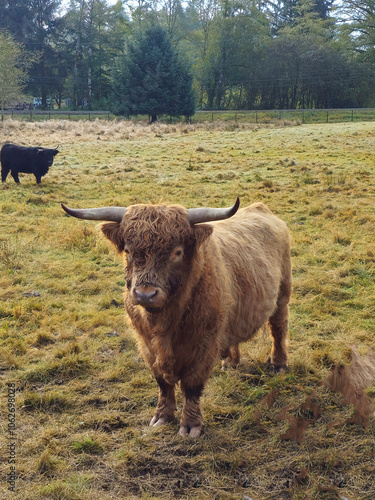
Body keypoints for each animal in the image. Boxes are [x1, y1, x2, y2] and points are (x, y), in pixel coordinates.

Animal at [61, 199, 292, 438]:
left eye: (177, 252)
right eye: (128, 250)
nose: (145, 294)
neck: (164, 322)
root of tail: (261, 208)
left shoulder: (204, 344)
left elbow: (192, 384)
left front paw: (190, 426)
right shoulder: (146, 344)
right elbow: (162, 382)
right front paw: (162, 416)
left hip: (283, 293)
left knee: (278, 328)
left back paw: (278, 364)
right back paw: (230, 362)